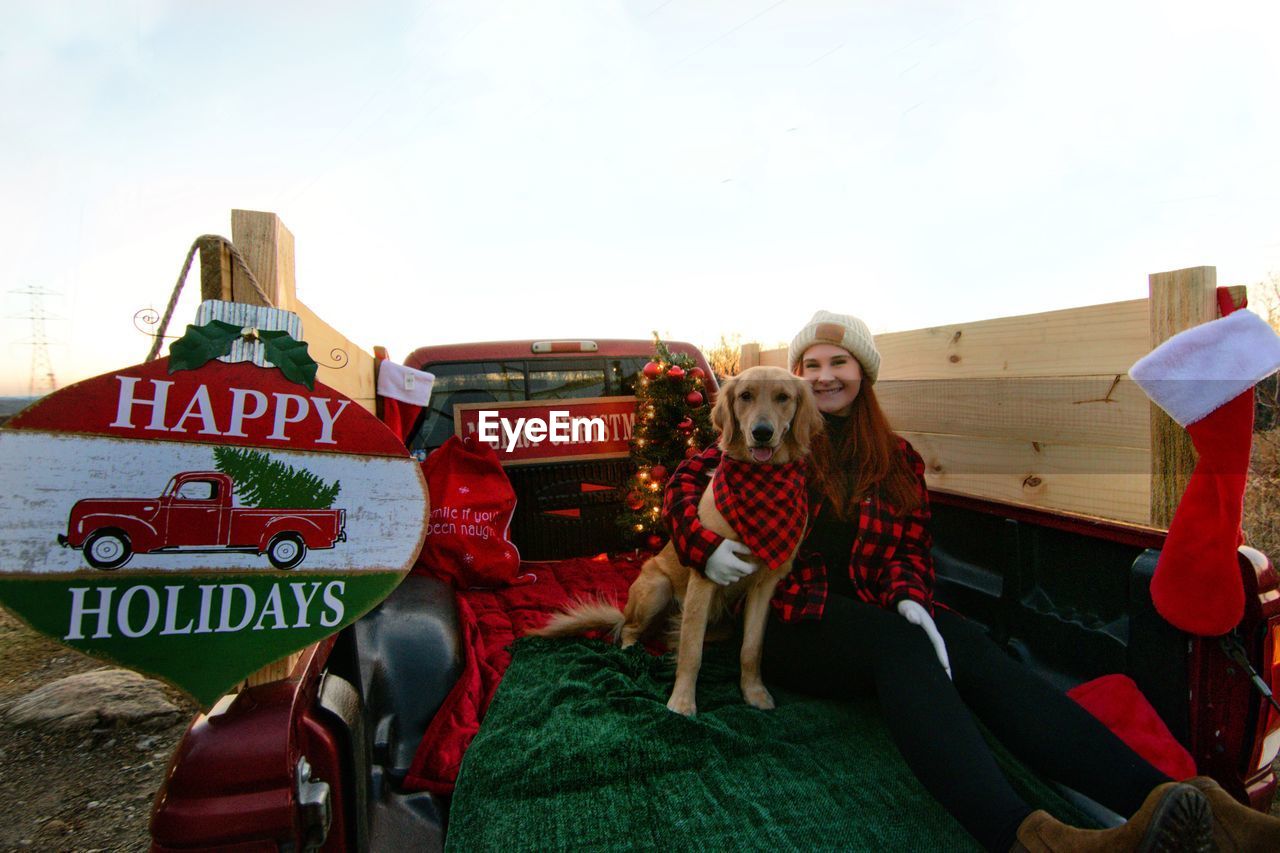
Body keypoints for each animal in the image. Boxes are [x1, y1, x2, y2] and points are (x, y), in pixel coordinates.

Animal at [527, 361, 819, 712]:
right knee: (631, 630)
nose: (762, 432)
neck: (760, 489)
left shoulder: (765, 585)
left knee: (670, 635)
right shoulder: (705, 577)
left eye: (783, 397)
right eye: (746, 396)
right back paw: (633, 652)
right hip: (658, 588)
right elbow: (692, 651)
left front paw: (753, 691)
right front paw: (681, 701)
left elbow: (751, 649)